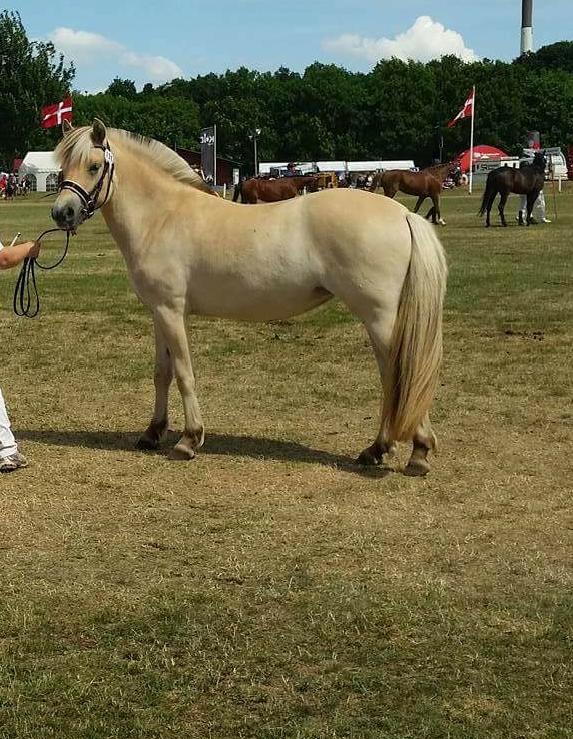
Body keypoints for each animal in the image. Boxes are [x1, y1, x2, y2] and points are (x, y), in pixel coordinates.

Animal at [52, 120, 446, 480]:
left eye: (94, 166)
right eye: (61, 169)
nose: (62, 213)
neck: (162, 216)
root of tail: (402, 213)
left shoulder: (171, 312)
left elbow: (184, 373)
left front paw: (189, 440)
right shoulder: (159, 312)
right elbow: (161, 373)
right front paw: (152, 433)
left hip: (380, 318)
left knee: (399, 374)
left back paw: (414, 451)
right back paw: (381, 449)